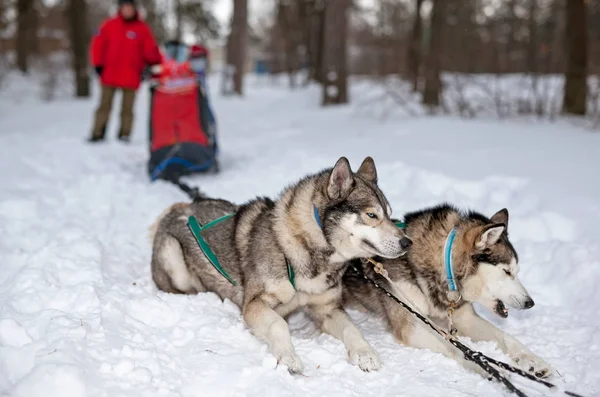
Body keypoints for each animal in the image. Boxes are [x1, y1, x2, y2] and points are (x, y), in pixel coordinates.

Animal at [150, 156, 412, 372]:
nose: (407, 242)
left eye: (390, 215)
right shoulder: (255, 304)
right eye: (372, 215)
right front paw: (288, 357)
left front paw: (365, 353)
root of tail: (179, 207)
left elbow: (352, 328)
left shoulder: (326, 309)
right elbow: (278, 324)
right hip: (174, 259)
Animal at [342, 203, 552, 378]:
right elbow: (455, 348)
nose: (530, 303)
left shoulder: (464, 318)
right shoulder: (411, 325)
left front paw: (532, 360)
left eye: (516, 271)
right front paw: (490, 369)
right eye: (507, 271)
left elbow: (506, 337)